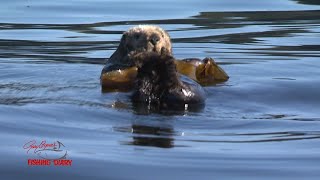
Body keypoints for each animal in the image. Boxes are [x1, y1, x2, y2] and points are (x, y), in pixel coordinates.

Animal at [101, 24, 229, 91]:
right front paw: (138, 55)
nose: (154, 38)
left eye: (162, 35)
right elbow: (112, 74)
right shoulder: (116, 66)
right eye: (137, 36)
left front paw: (205, 62)